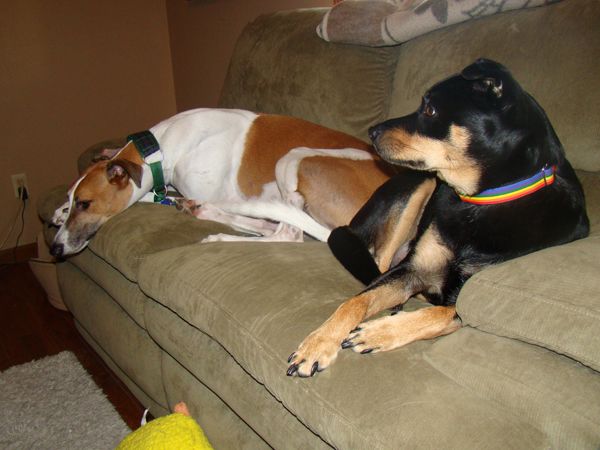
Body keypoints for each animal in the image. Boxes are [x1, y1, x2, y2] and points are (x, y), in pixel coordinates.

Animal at [50, 108, 390, 256]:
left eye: (85, 204)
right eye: (73, 200)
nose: (54, 248)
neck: (162, 145)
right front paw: (57, 212)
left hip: (294, 157)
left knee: (287, 234)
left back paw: (218, 234)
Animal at [288, 59, 592, 376]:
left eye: (430, 110)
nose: (371, 132)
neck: (479, 201)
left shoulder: (464, 299)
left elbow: (439, 313)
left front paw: (378, 332)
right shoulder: (413, 268)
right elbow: (356, 301)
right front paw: (317, 344)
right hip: (419, 185)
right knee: (379, 262)